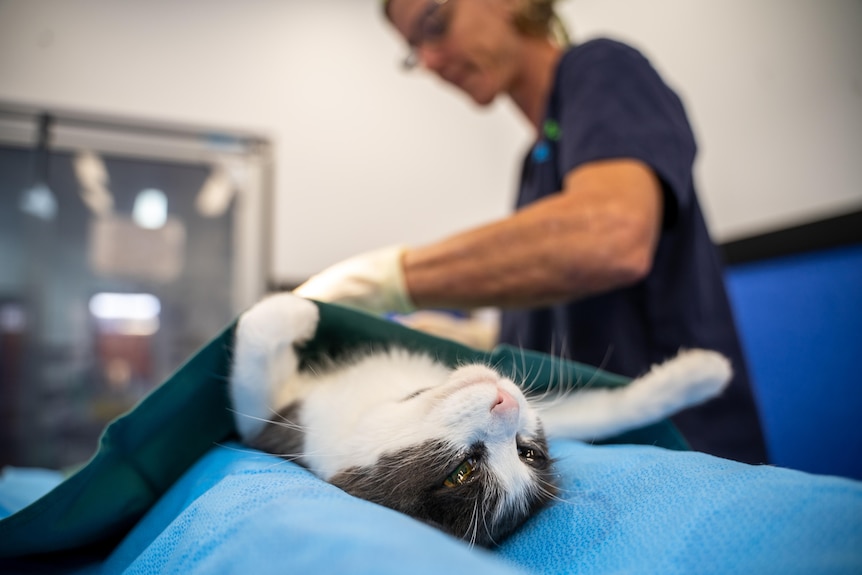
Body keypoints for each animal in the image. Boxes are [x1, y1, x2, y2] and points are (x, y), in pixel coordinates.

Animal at [228, 294, 728, 548]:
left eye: (462, 472)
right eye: (529, 452)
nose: (506, 405)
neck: (382, 403)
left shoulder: (271, 429)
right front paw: (703, 373)